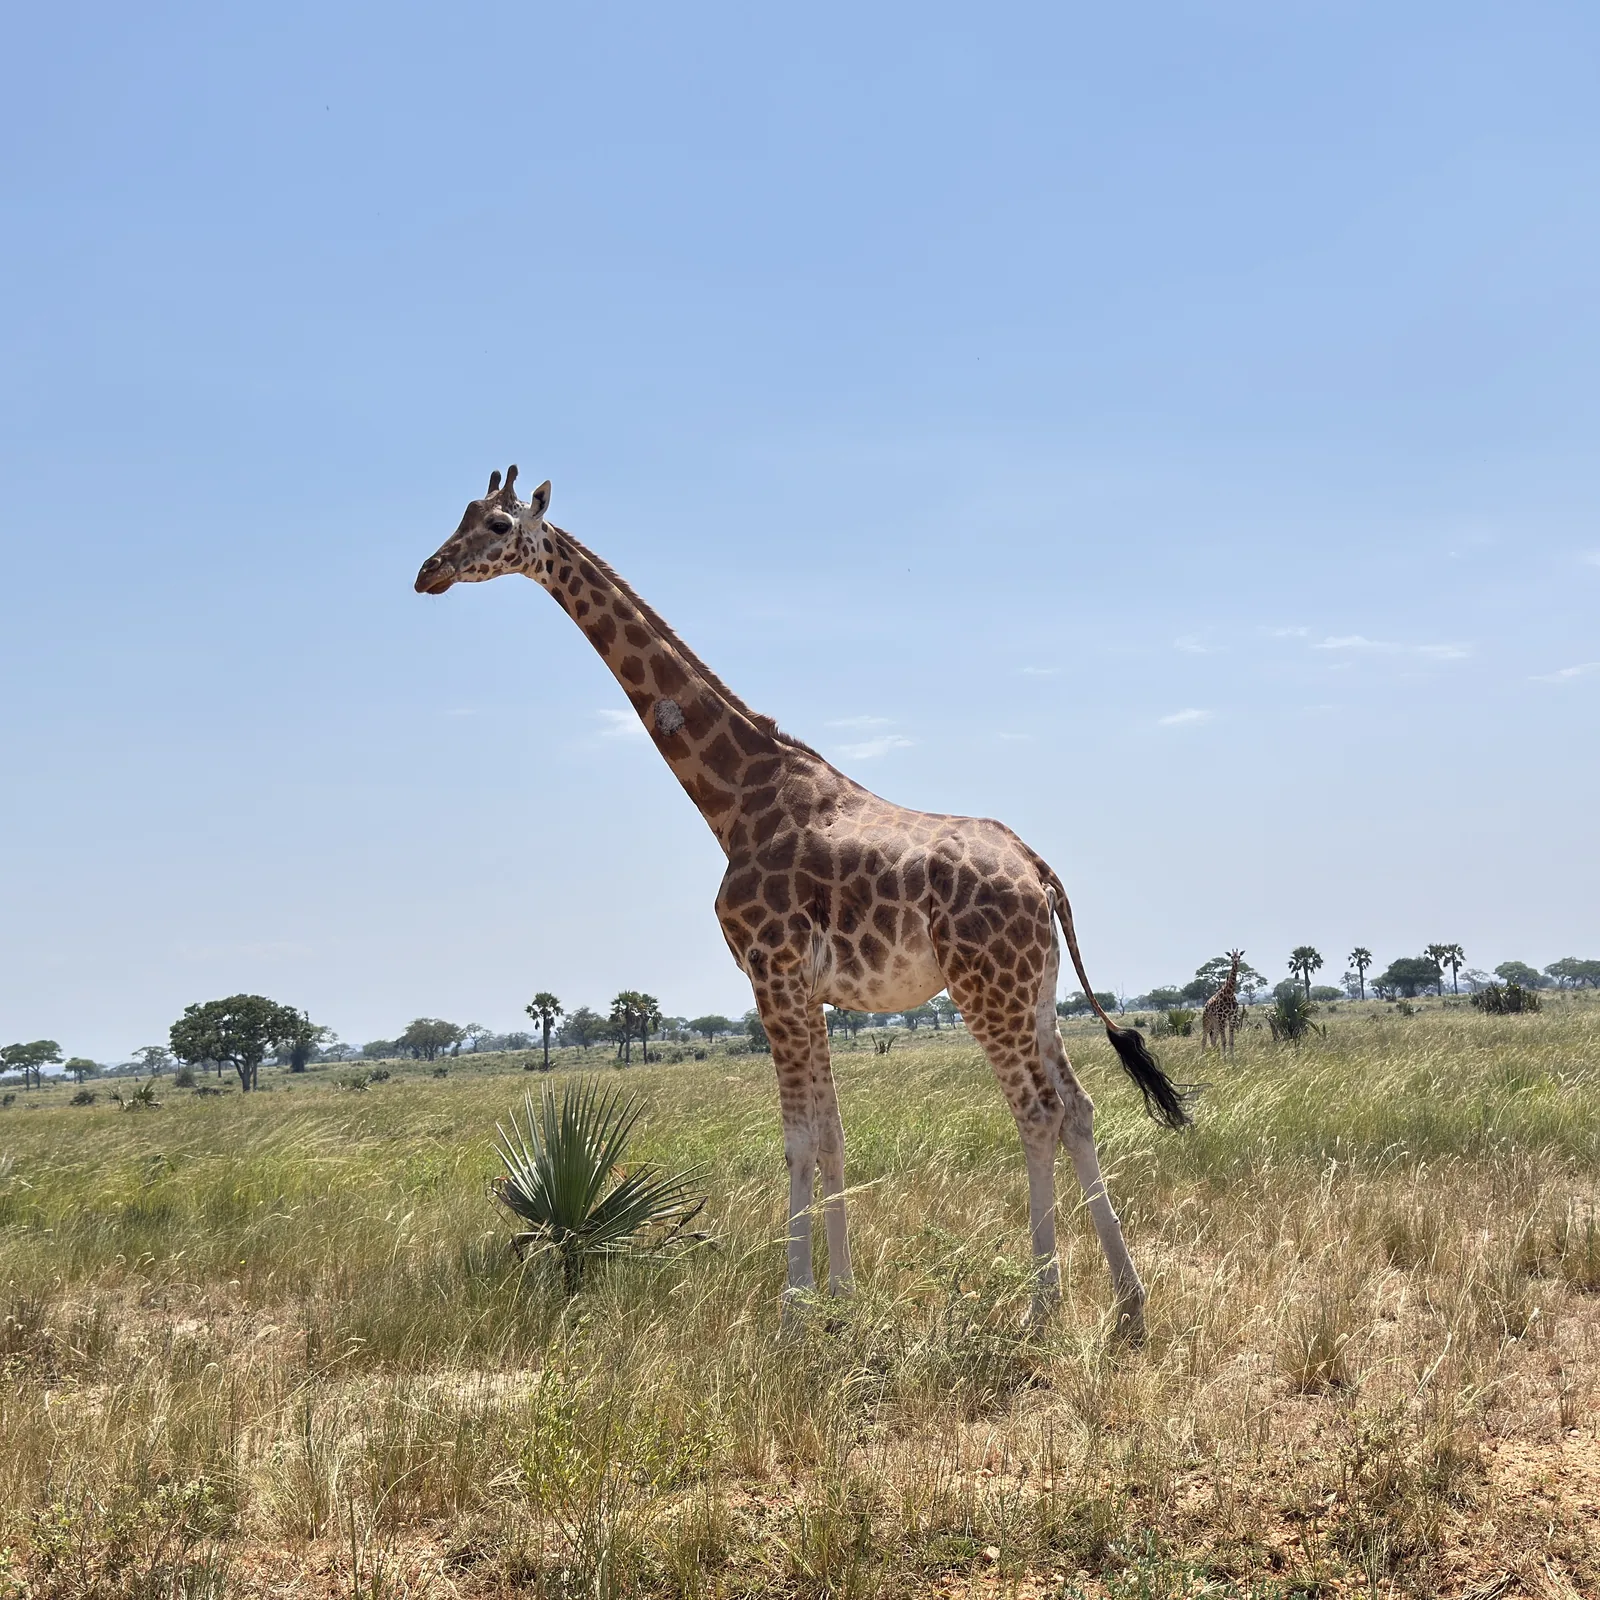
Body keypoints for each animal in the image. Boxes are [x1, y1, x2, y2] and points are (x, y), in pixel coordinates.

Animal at [415, 468, 1193, 1332]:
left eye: (495, 525)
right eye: (460, 516)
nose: (428, 572)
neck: (735, 801)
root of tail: (1040, 872)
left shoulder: (772, 974)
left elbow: (795, 1138)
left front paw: (792, 1309)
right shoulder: (808, 989)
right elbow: (831, 1136)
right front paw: (842, 1299)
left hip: (986, 988)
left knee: (1037, 1113)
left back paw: (1044, 1308)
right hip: (1038, 991)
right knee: (1079, 1106)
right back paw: (1129, 1305)